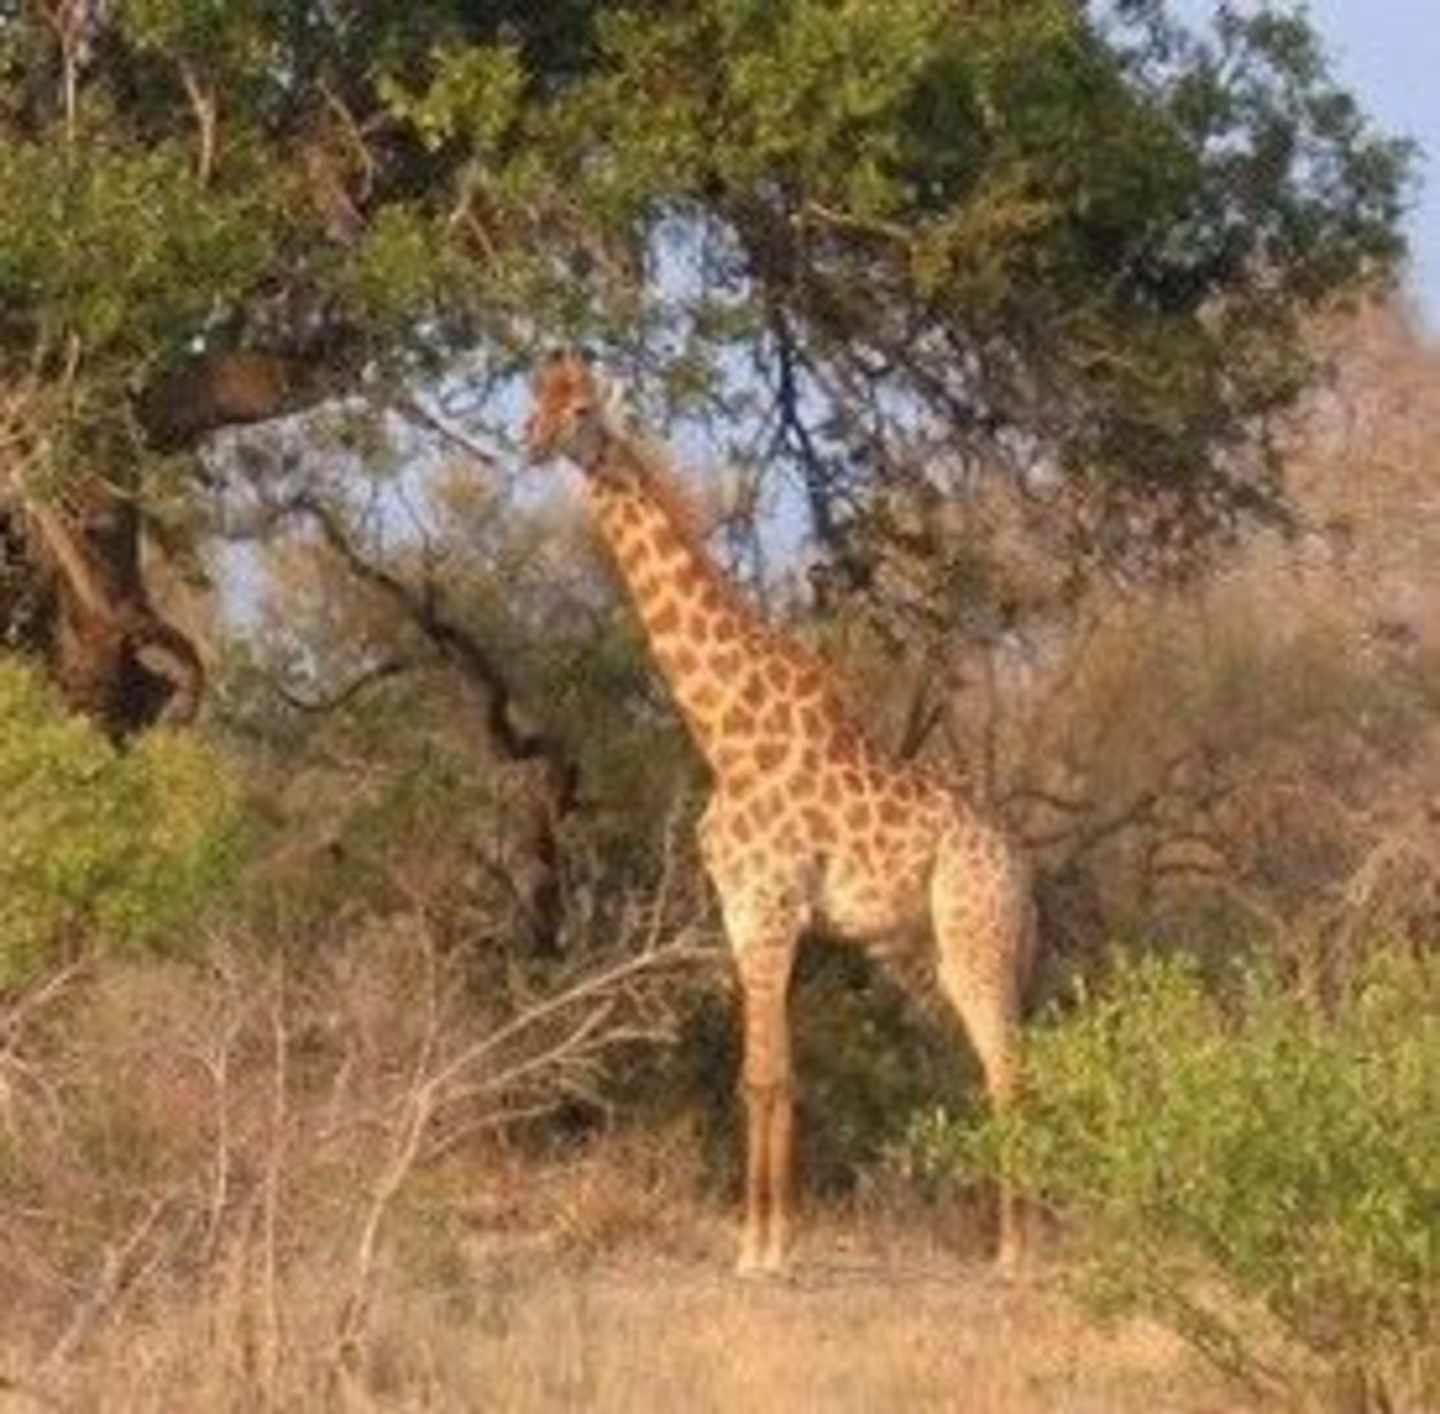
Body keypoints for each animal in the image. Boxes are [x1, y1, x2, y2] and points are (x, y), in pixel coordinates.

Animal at [524, 351, 1035, 1276]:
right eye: (534, 399)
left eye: (581, 408)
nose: (532, 442)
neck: (724, 730)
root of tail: (1021, 861)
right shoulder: (742, 913)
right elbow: (762, 1075)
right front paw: (764, 1238)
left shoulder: (768, 911)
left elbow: (767, 1077)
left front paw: (764, 1250)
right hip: (945, 949)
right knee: (998, 1070)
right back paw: (1013, 1242)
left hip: (976, 931)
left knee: (1011, 1073)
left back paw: (1017, 1255)